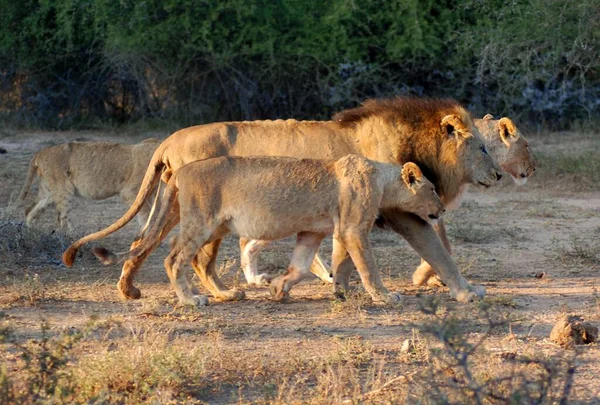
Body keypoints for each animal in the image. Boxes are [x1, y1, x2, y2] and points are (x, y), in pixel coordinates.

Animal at [92, 155, 440, 306]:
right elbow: (369, 268)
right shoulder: (353, 229)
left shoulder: (312, 231)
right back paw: (192, 300)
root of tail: (180, 170)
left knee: (193, 258)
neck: (382, 179)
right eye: (433, 189)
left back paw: (226, 294)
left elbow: (300, 266)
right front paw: (385, 296)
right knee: (174, 257)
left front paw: (277, 288)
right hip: (202, 221)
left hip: (215, 225)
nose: (443, 208)